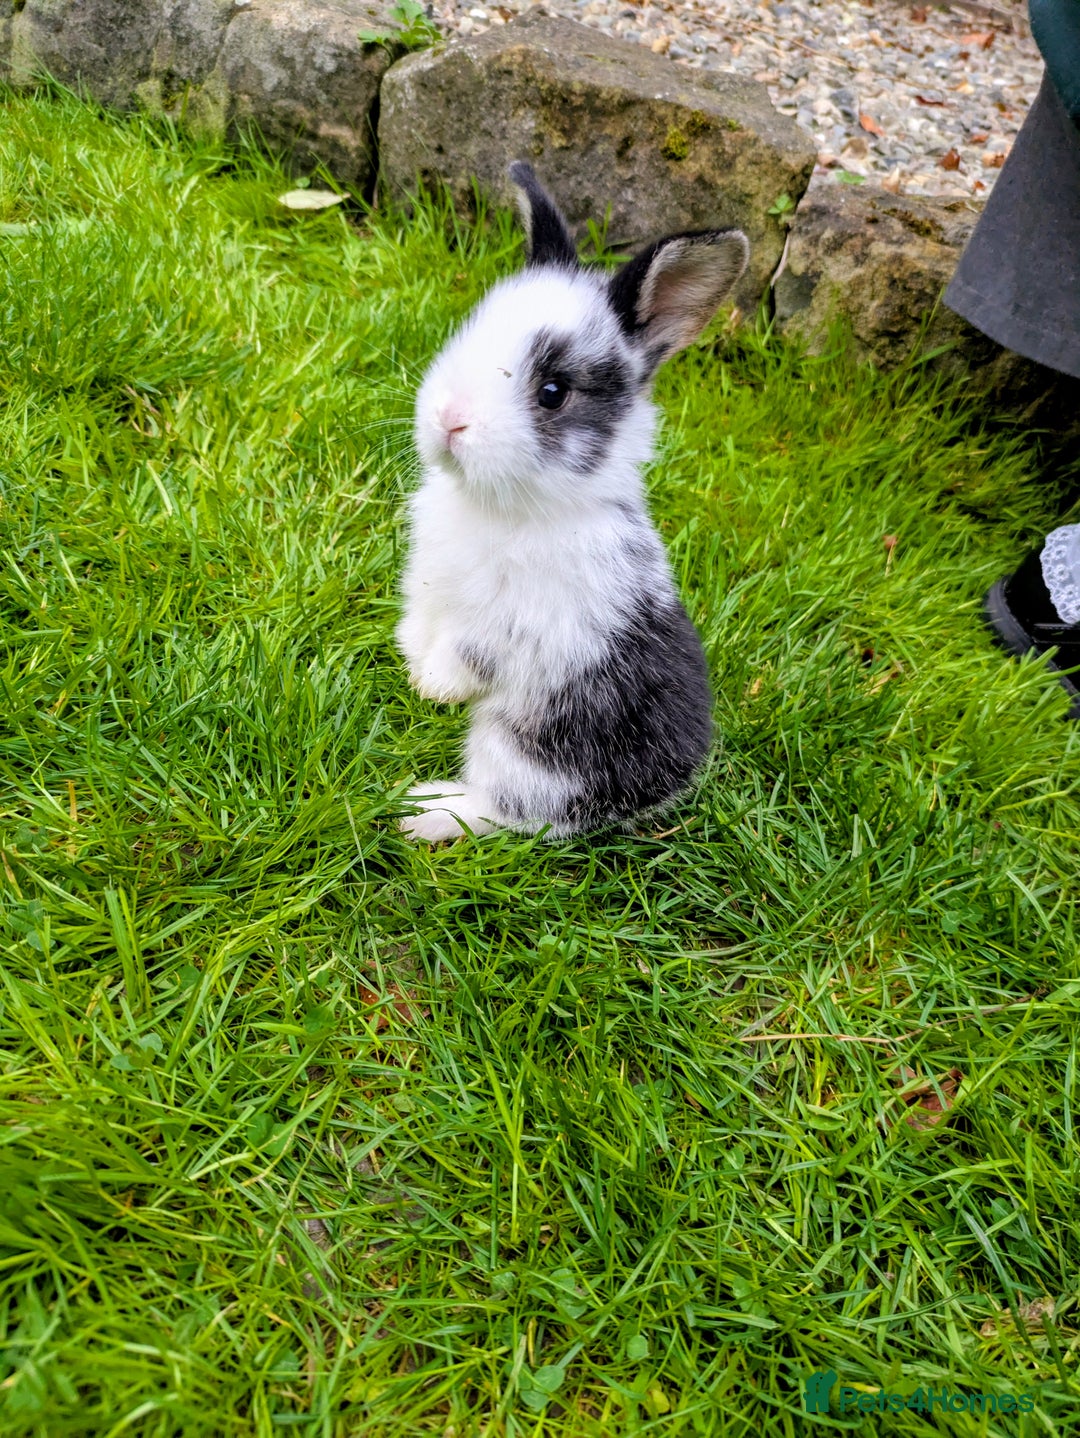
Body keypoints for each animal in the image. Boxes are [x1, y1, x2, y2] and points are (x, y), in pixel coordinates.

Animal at [396, 161, 749, 841]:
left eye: (553, 391)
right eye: (468, 332)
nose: (449, 419)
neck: (504, 504)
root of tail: (662, 789)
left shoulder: (515, 622)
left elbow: (467, 653)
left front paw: (432, 688)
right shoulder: (429, 589)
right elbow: (421, 624)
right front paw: (411, 665)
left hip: (530, 743)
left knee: (514, 810)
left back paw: (421, 813)